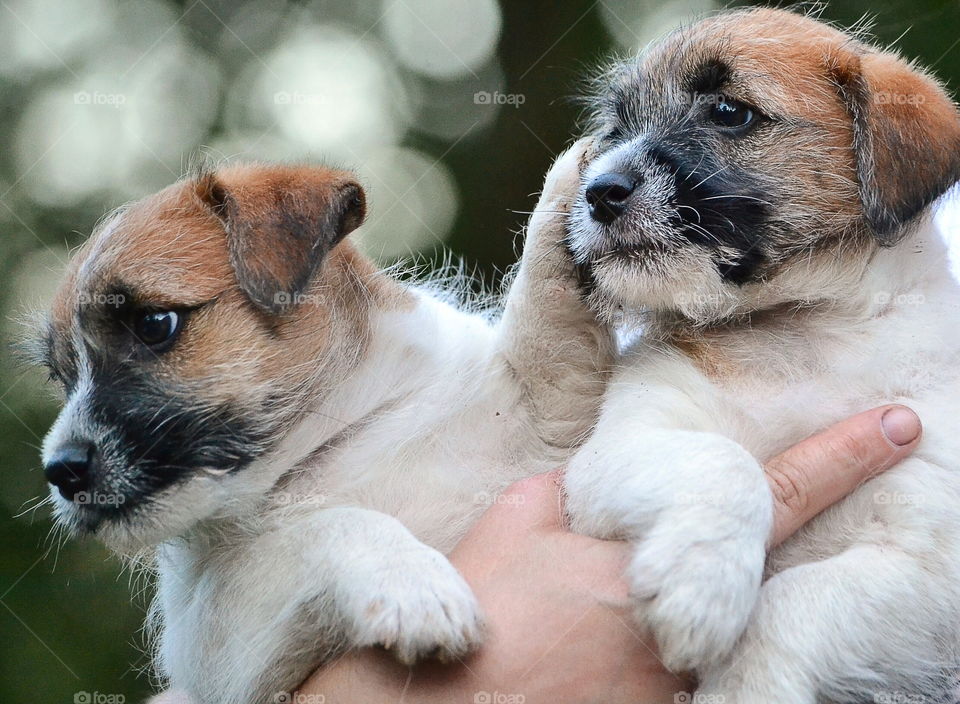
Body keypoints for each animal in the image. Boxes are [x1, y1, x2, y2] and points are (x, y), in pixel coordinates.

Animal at [33, 158, 612, 704]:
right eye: (61, 375)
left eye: (154, 324)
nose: (60, 471)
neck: (329, 448)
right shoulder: (225, 642)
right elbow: (323, 527)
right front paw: (411, 582)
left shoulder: (540, 424)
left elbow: (546, 348)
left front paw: (565, 199)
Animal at [560, 8, 960, 700]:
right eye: (616, 128)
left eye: (729, 112)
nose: (599, 191)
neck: (804, 329)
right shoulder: (624, 443)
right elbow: (725, 464)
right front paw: (703, 586)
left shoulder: (926, 562)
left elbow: (795, 601)